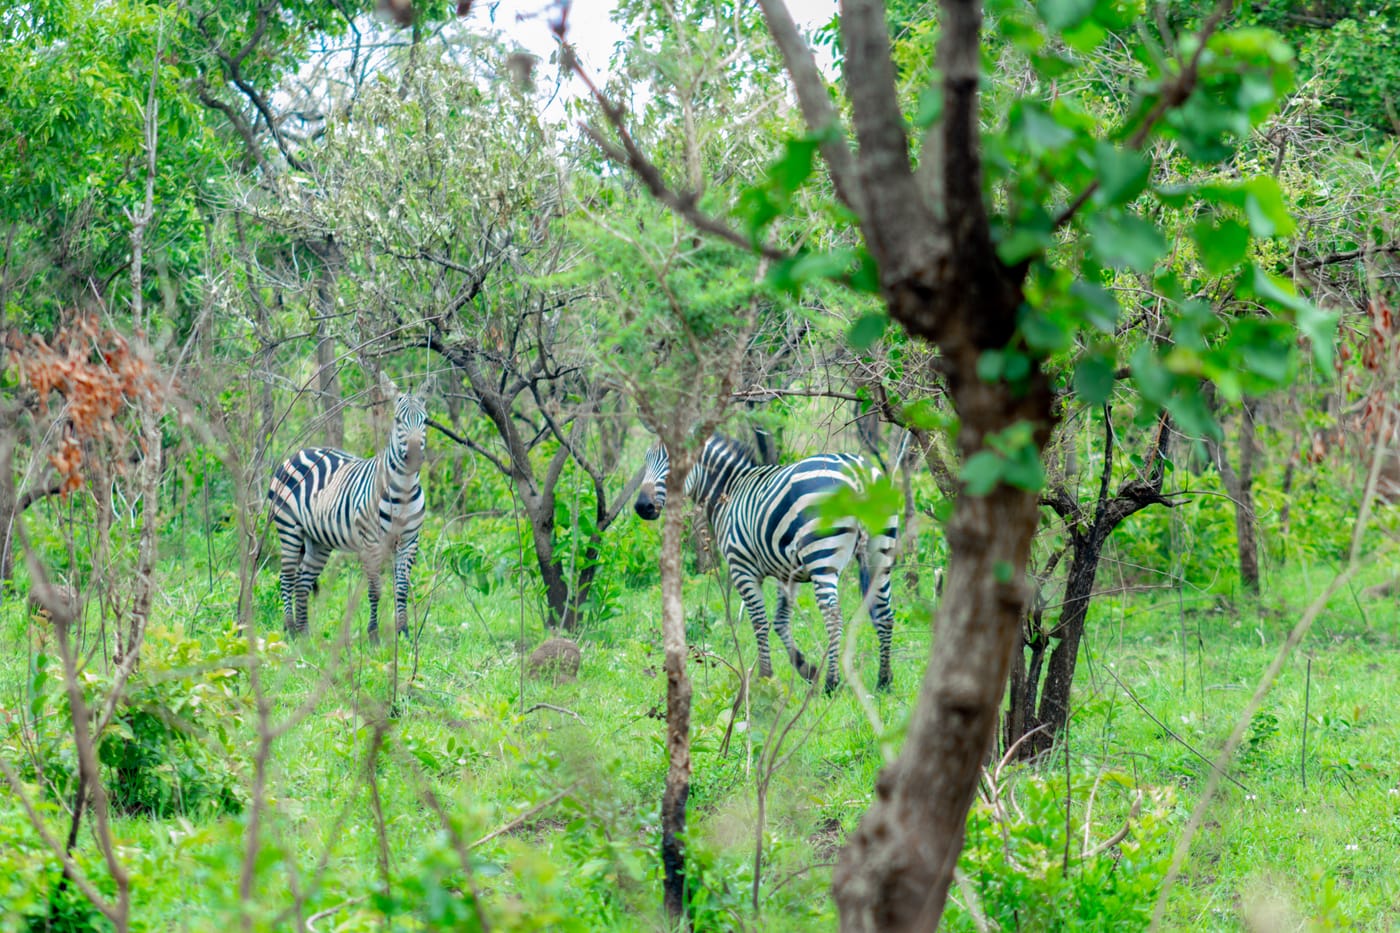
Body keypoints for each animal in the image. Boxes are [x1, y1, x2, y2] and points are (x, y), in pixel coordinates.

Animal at [268, 394, 428, 641]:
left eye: (425, 421)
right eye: (399, 421)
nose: (414, 456)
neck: (403, 491)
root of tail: (298, 452)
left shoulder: (410, 541)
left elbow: (401, 589)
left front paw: (403, 633)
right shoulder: (370, 542)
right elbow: (375, 589)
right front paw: (373, 635)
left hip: (318, 540)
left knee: (303, 581)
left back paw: (305, 634)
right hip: (288, 528)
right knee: (287, 578)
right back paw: (291, 629)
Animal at [635, 435, 898, 692]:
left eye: (675, 461)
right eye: (646, 459)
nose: (641, 507)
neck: (730, 490)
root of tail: (858, 474)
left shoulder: (742, 568)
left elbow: (760, 622)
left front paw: (764, 678)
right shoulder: (788, 571)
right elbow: (780, 622)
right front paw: (807, 670)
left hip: (822, 555)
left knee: (834, 617)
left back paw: (832, 684)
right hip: (879, 552)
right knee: (884, 613)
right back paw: (883, 681)